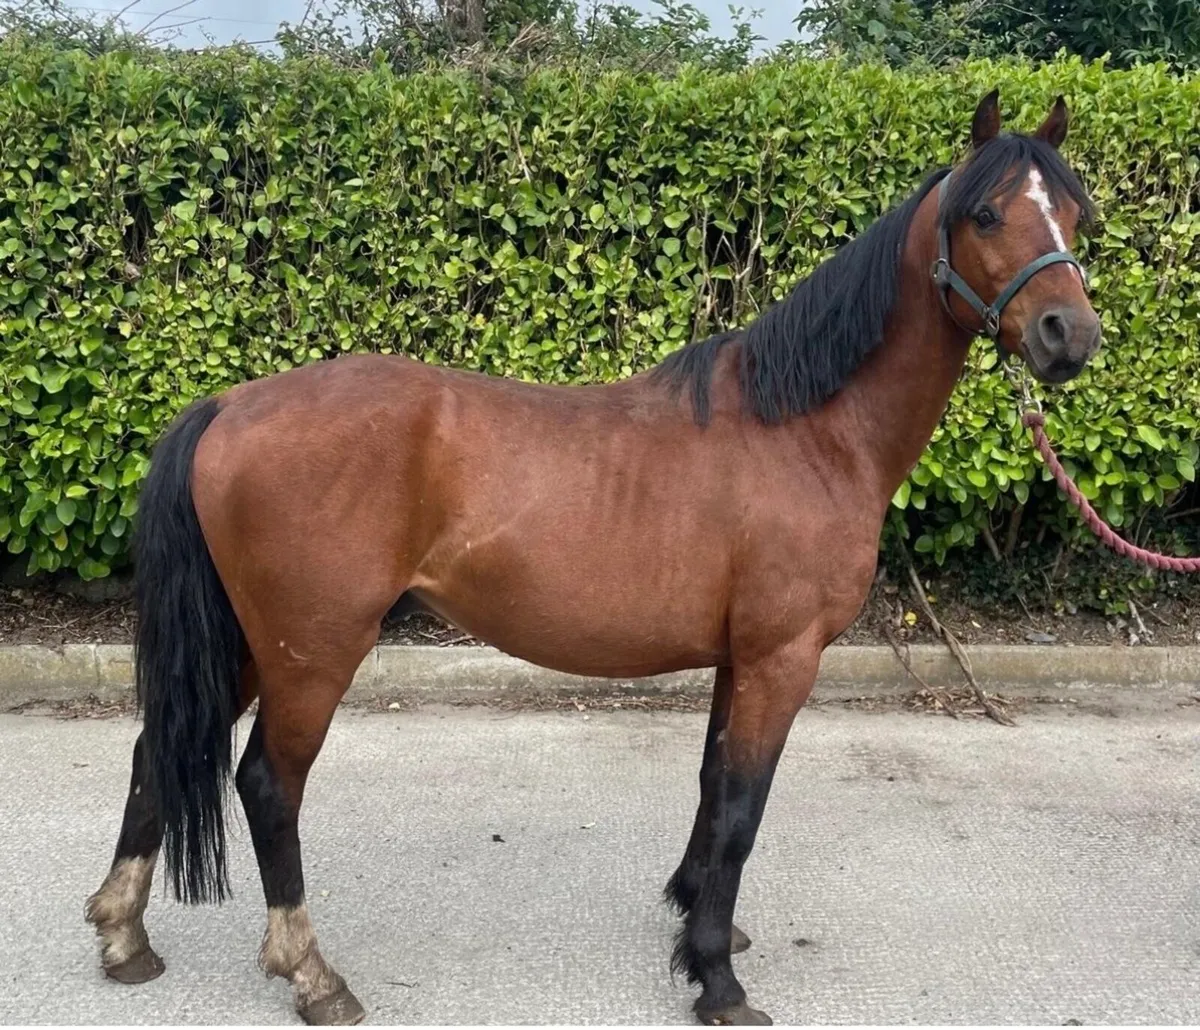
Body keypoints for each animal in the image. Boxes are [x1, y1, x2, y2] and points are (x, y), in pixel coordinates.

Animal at [84, 89, 1100, 1026]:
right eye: (985, 214)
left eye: (1075, 213)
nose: (1071, 336)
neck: (805, 430)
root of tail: (230, 405)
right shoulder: (783, 658)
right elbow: (744, 808)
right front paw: (717, 980)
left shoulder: (739, 658)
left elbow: (712, 788)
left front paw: (698, 922)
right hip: (313, 652)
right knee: (267, 785)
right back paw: (311, 973)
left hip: (253, 644)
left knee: (157, 748)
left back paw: (125, 934)